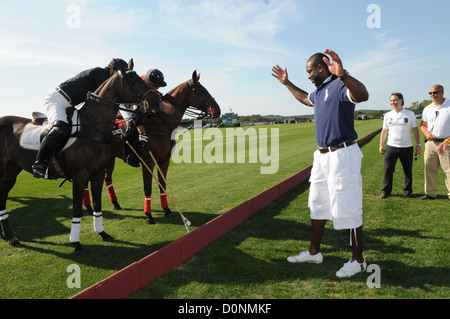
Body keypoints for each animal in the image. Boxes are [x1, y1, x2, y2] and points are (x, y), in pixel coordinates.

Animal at [0, 60, 162, 255]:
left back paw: (9, 236)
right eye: (133, 79)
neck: (92, 128)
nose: (158, 102)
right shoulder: (80, 177)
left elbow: (98, 205)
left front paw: (102, 233)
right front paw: (76, 243)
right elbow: (77, 209)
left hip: (11, 170)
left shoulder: (97, 175)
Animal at [84, 70, 221, 225]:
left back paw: (116, 203)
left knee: (108, 179)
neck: (162, 125)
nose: (218, 110)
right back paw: (88, 208)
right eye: (201, 91)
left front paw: (167, 210)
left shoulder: (164, 161)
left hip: (110, 158)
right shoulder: (148, 161)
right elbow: (147, 188)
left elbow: (162, 185)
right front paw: (148, 216)